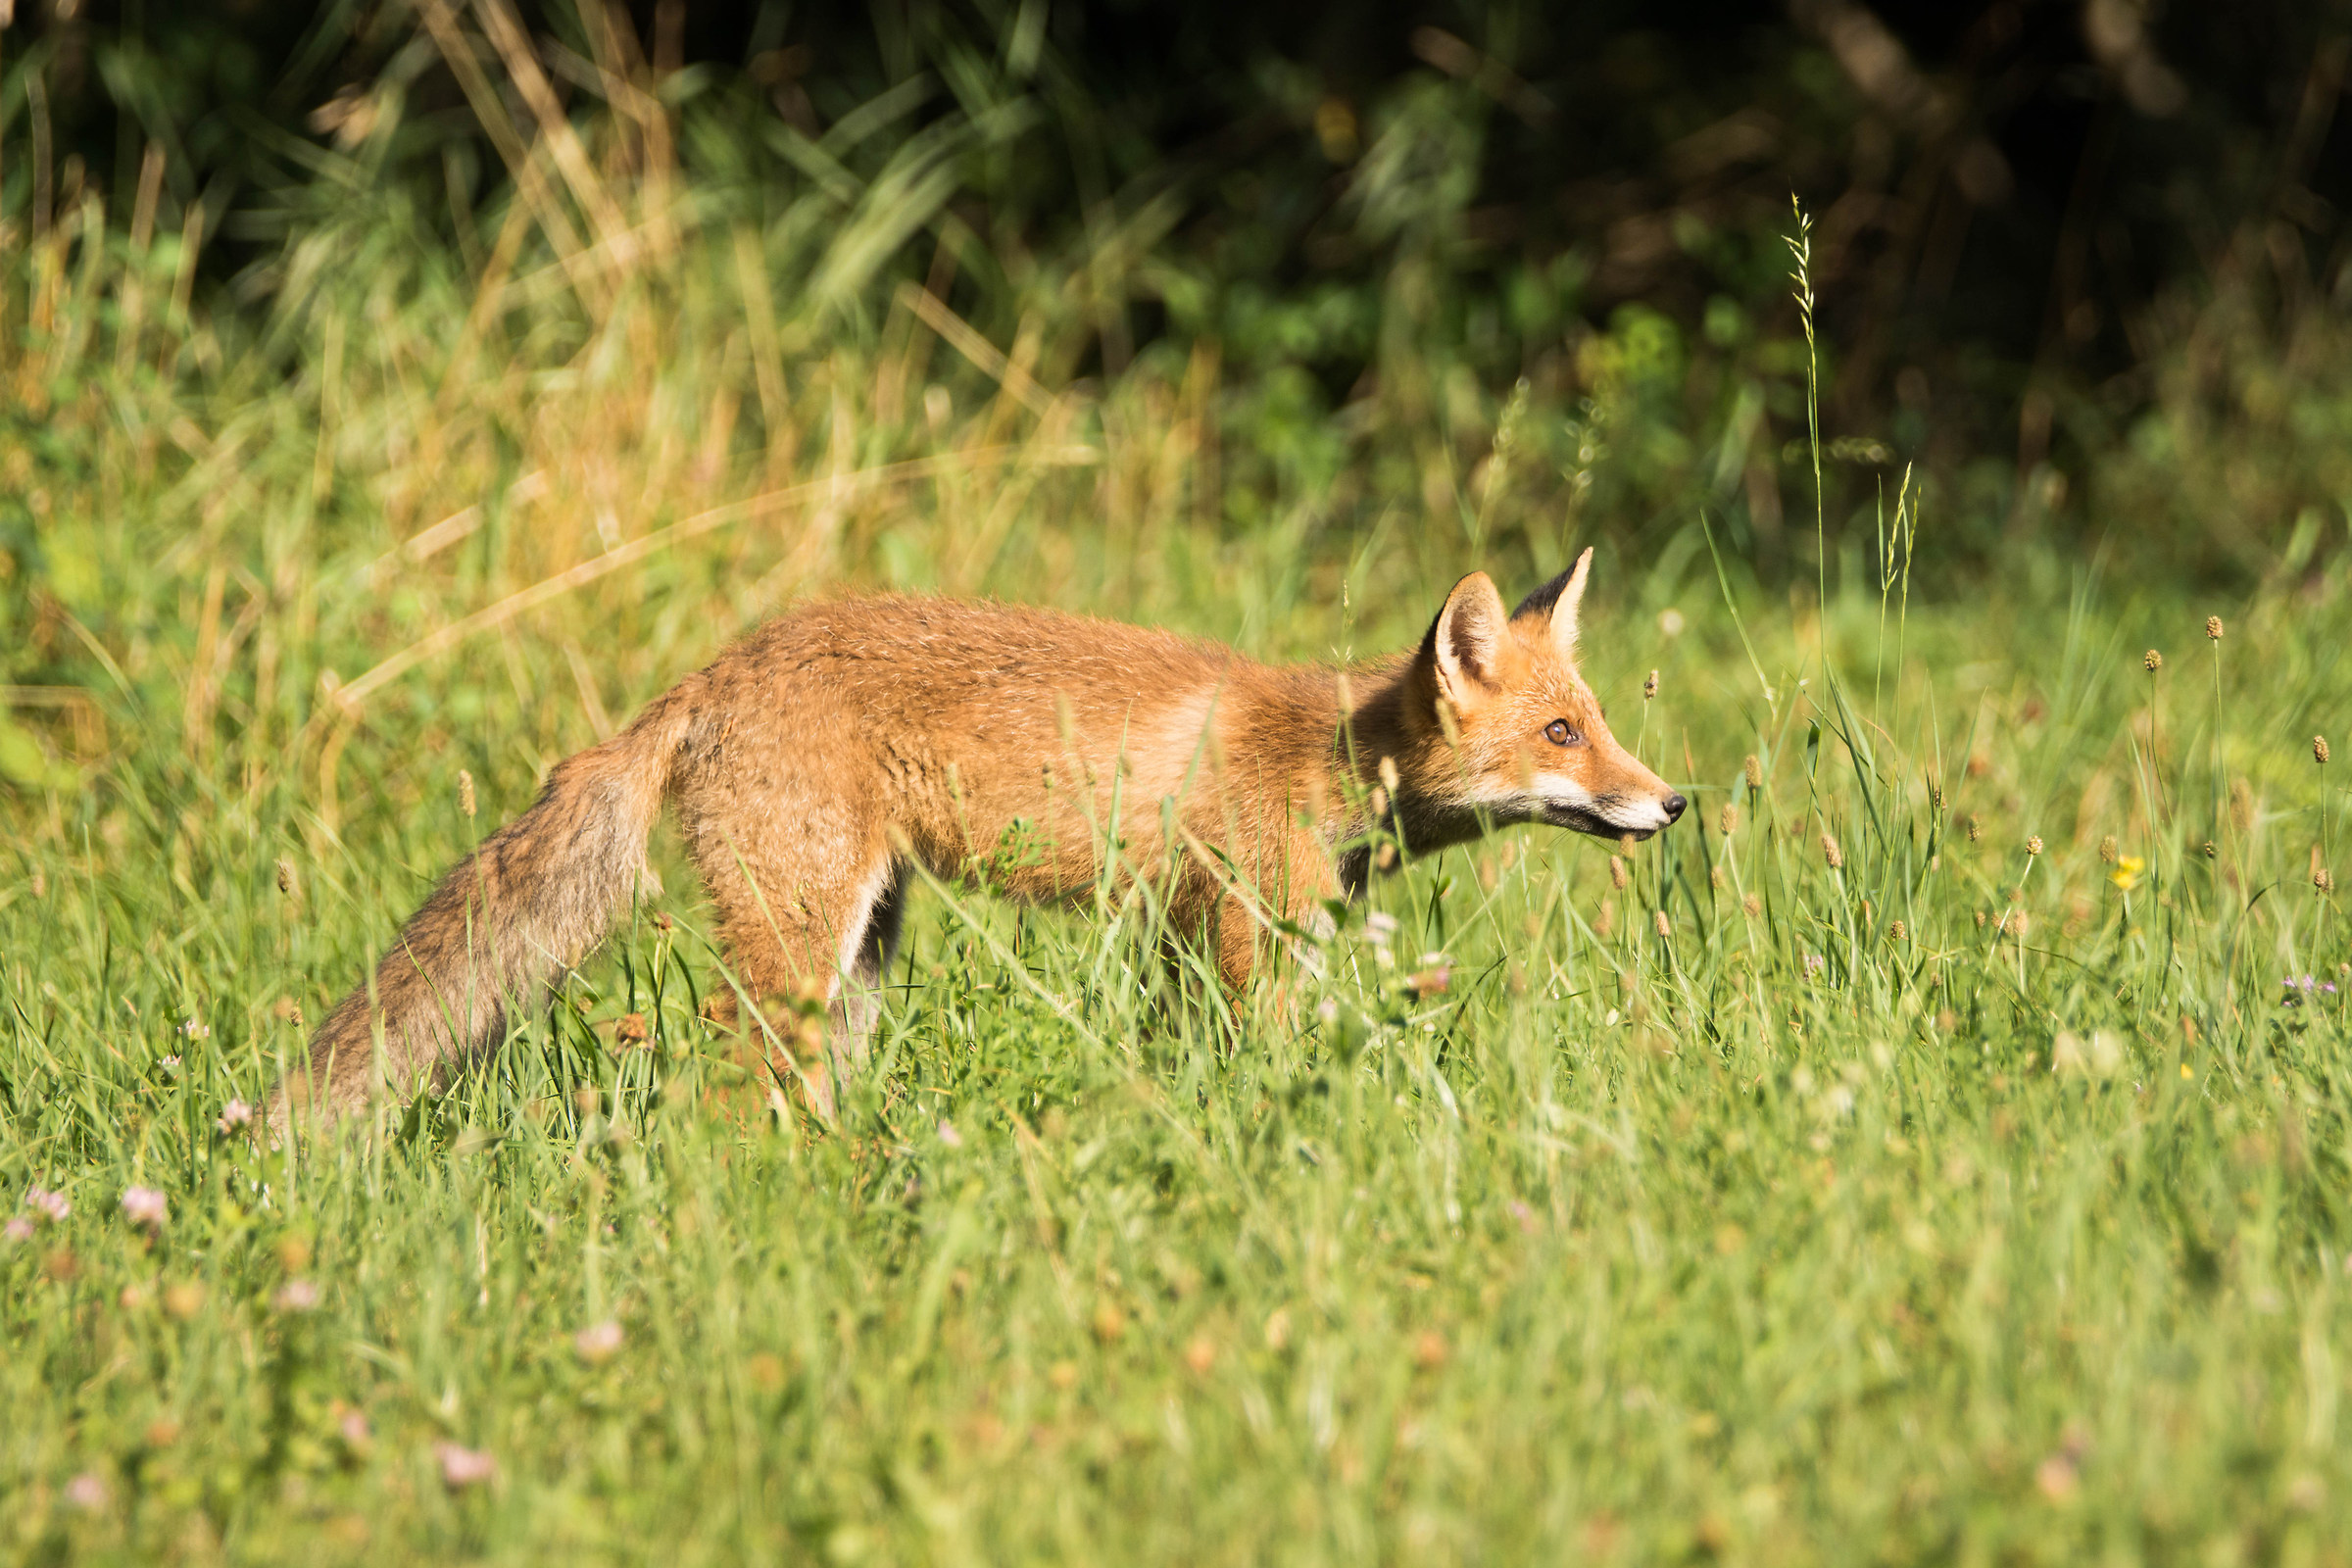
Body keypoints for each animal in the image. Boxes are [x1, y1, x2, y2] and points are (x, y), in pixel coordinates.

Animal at [268, 548, 1684, 1131]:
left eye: (1598, 724)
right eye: (1561, 732)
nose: (1673, 803)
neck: (1323, 752)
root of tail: (711, 675)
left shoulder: (1183, 933)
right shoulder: (1241, 929)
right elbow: (1261, 1067)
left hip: (859, 959)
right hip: (796, 950)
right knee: (719, 1087)